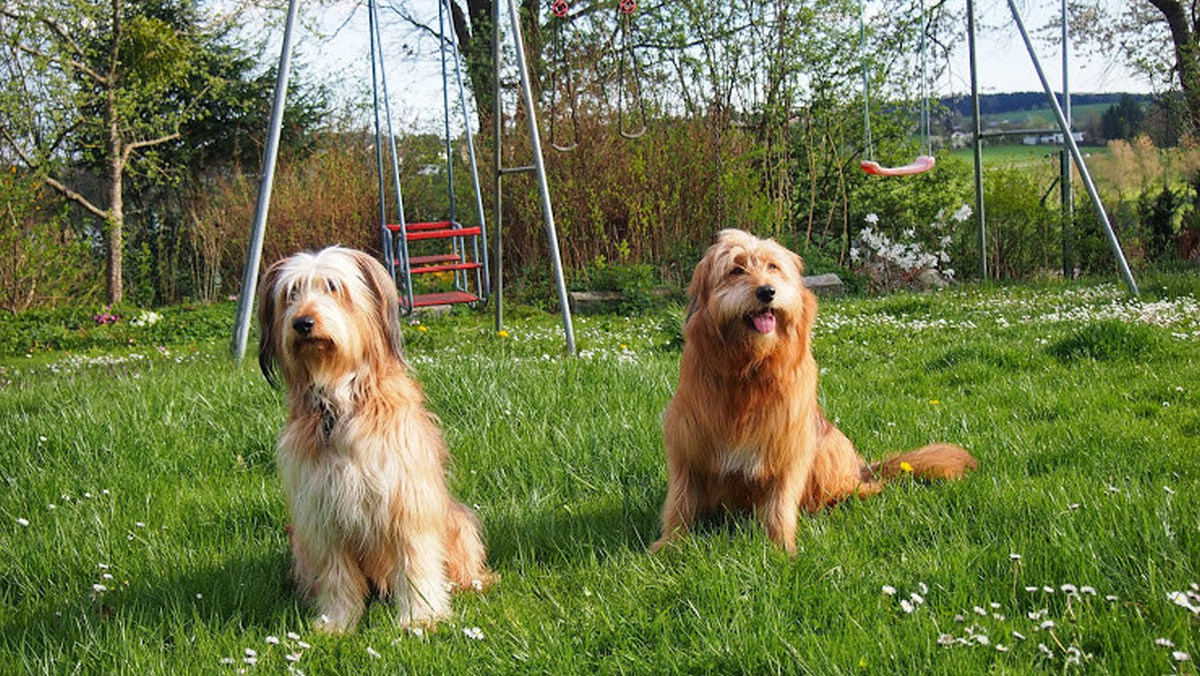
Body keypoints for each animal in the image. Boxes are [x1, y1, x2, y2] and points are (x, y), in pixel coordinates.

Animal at [257, 246, 490, 633]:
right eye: (291, 293)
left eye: (333, 287)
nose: (303, 323)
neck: (338, 404)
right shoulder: (322, 515)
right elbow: (336, 575)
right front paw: (336, 624)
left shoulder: (407, 502)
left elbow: (416, 563)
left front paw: (421, 618)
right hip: (300, 543)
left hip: (456, 523)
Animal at [653, 229, 977, 554]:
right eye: (736, 269)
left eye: (773, 267)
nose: (767, 292)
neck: (749, 371)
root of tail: (861, 469)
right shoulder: (688, 448)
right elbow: (680, 500)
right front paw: (670, 544)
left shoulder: (788, 450)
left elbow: (780, 504)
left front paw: (781, 549)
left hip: (829, 454)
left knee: (862, 488)